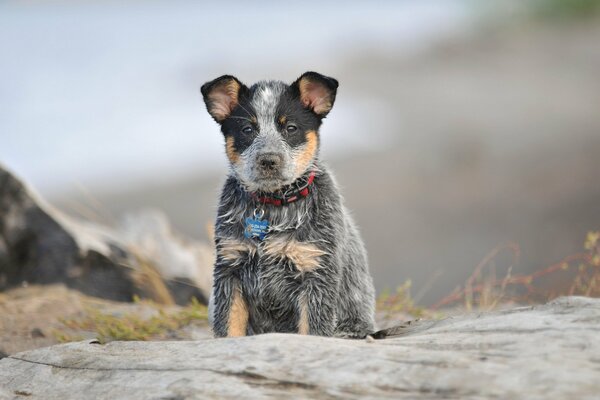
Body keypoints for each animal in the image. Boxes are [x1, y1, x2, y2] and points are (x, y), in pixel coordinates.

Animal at [202, 72, 376, 338]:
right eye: (247, 129)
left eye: (291, 128)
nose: (268, 160)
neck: (273, 206)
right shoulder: (229, 268)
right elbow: (228, 327)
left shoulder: (316, 270)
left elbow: (313, 330)